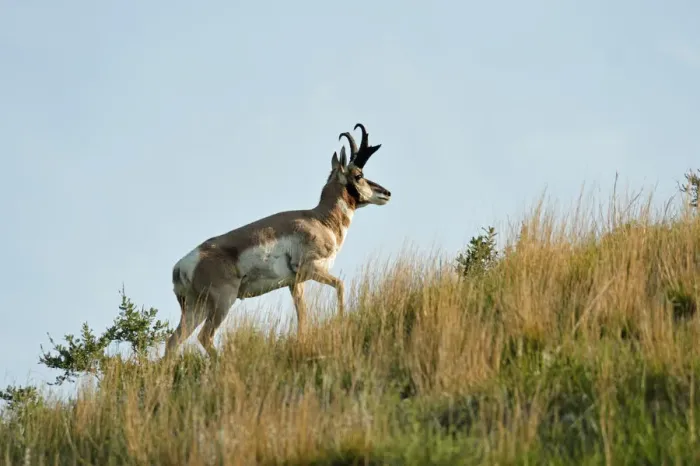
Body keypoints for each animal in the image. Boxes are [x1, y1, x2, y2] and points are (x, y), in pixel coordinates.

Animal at [165, 123, 392, 355]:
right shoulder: (311, 269)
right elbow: (340, 285)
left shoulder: (295, 283)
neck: (319, 219)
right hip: (222, 302)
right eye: (359, 175)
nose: (386, 193)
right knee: (205, 336)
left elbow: (303, 317)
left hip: (196, 308)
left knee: (173, 341)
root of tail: (182, 265)